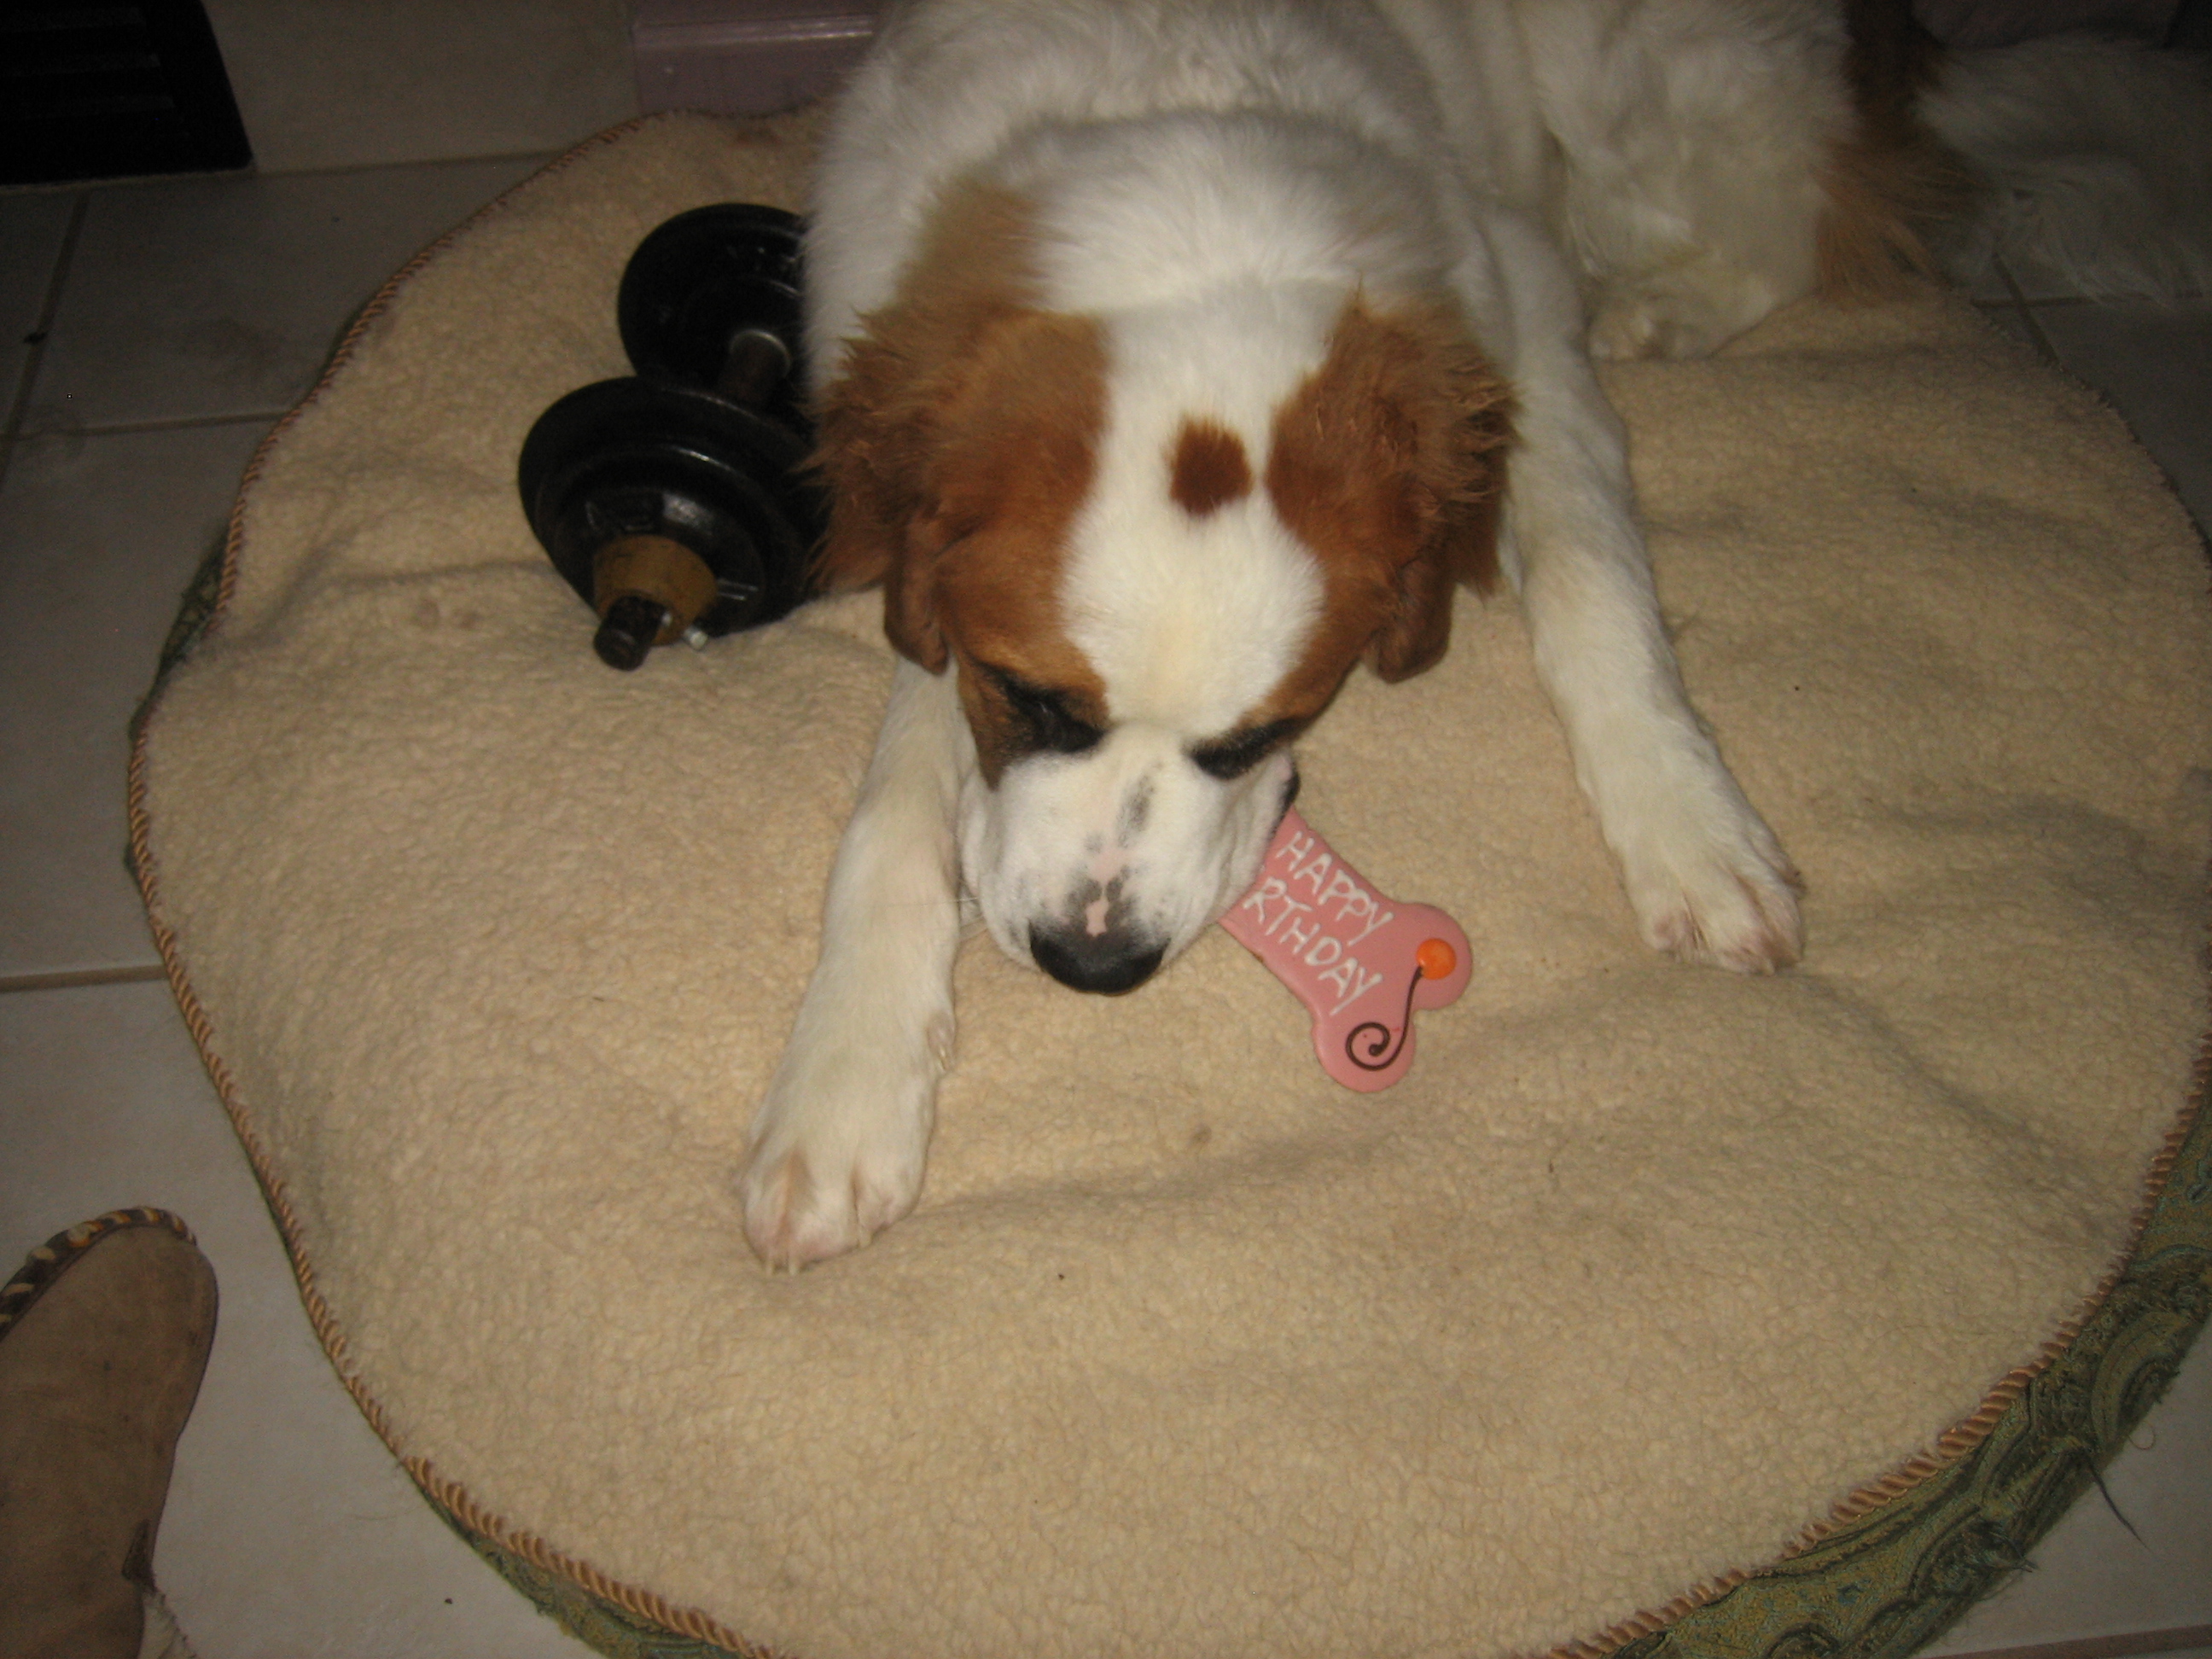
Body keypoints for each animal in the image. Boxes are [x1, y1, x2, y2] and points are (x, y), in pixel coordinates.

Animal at [737, 0, 2212, 1269]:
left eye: (1268, 735)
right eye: (1028, 699)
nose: (1096, 965)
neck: (1168, 109)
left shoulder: (1517, 308)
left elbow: (1590, 568)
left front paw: (1685, 821)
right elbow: (901, 799)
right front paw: (844, 1081)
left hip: (1632, 79)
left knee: (1805, 218)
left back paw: (1671, 304)